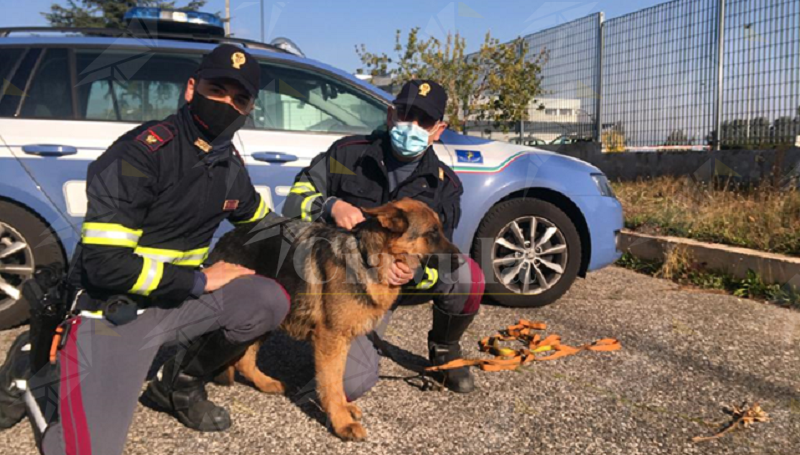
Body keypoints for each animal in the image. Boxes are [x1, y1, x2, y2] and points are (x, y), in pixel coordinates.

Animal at [206, 200, 460, 442]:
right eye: (432, 232)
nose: (461, 262)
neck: (367, 258)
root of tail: (223, 240)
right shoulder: (330, 339)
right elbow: (332, 383)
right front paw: (341, 422)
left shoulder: (341, 341)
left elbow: (338, 379)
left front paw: (344, 409)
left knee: (245, 359)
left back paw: (265, 383)